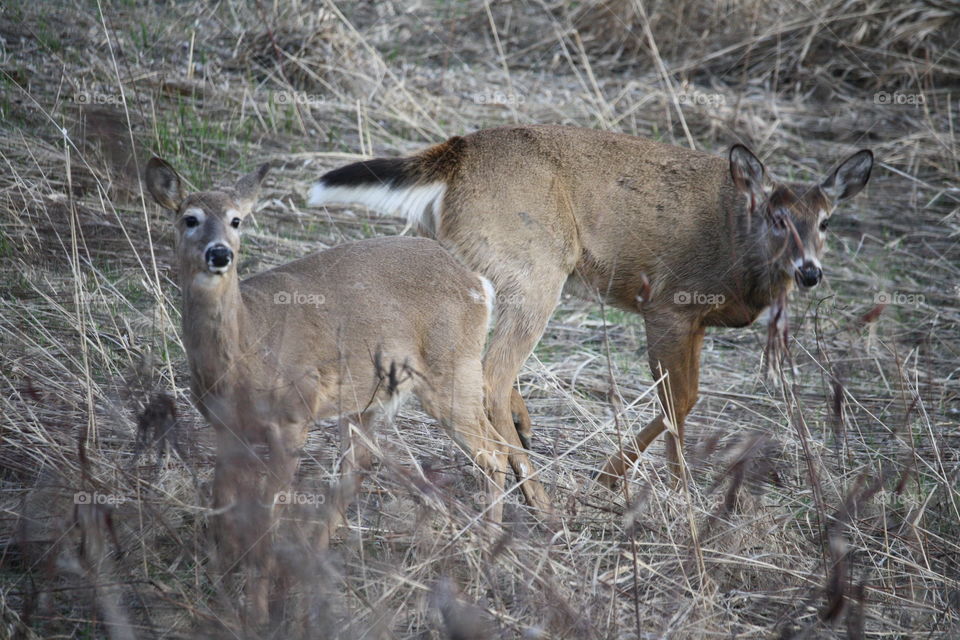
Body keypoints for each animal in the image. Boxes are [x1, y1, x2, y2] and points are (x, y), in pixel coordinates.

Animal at [142, 159, 548, 620]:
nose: (220, 253)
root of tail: (479, 283)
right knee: (363, 464)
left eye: (236, 220)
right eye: (189, 219)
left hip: (451, 373)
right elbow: (223, 504)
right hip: (371, 396)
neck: (247, 346)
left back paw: (484, 554)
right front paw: (219, 586)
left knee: (492, 453)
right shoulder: (224, 427)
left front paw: (257, 607)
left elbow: (267, 511)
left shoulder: (293, 416)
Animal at [312, 124, 872, 484]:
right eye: (778, 219)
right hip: (537, 266)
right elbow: (677, 398)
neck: (740, 256)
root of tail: (457, 155)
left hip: (470, 261)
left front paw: (670, 482)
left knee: (481, 362)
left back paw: (524, 437)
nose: (809, 272)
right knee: (493, 373)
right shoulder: (669, 303)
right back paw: (535, 493)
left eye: (825, 222)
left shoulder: (696, 322)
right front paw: (630, 479)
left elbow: (687, 398)